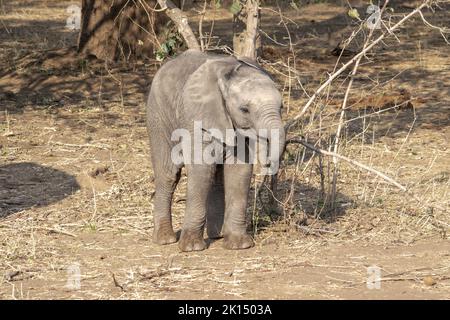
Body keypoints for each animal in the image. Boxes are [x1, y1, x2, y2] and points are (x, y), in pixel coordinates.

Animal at [148, 49, 284, 252]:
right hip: (159, 117)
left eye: (281, 107)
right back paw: (165, 240)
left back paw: (217, 235)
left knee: (216, 177)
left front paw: (239, 245)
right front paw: (192, 248)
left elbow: (239, 171)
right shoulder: (197, 119)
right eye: (244, 109)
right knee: (168, 174)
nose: (267, 163)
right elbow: (201, 169)